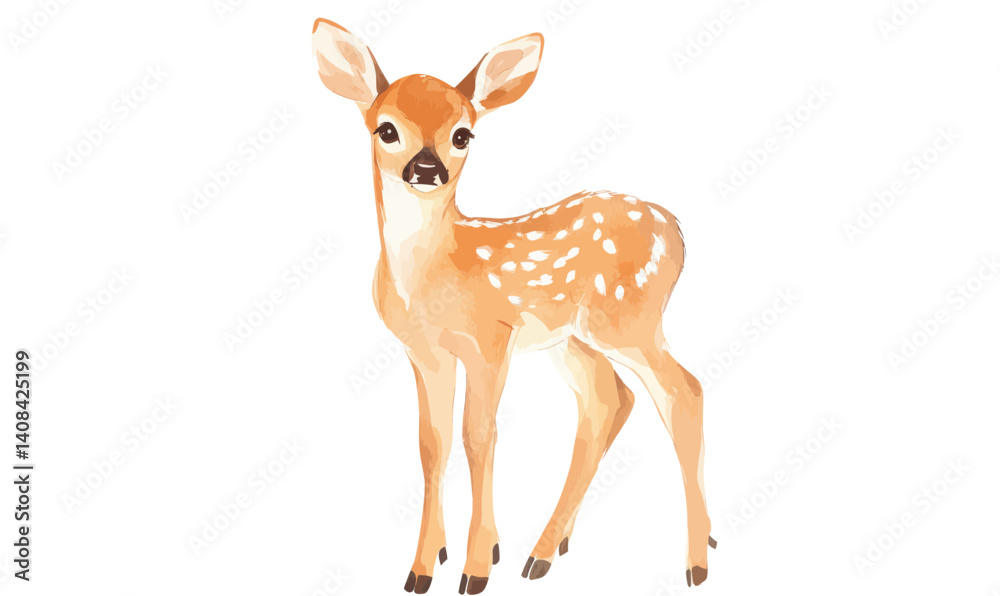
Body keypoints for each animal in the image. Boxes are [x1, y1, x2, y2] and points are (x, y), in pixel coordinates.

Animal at [311, 18, 715, 594]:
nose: (426, 168)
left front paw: (476, 568)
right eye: (385, 129)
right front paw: (424, 566)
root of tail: (675, 230)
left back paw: (696, 562)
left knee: (685, 390)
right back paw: (547, 550)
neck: (435, 272)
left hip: (627, 317)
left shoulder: (490, 337)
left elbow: (479, 436)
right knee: (607, 400)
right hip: (570, 339)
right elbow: (431, 443)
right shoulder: (423, 352)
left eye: (463, 134)